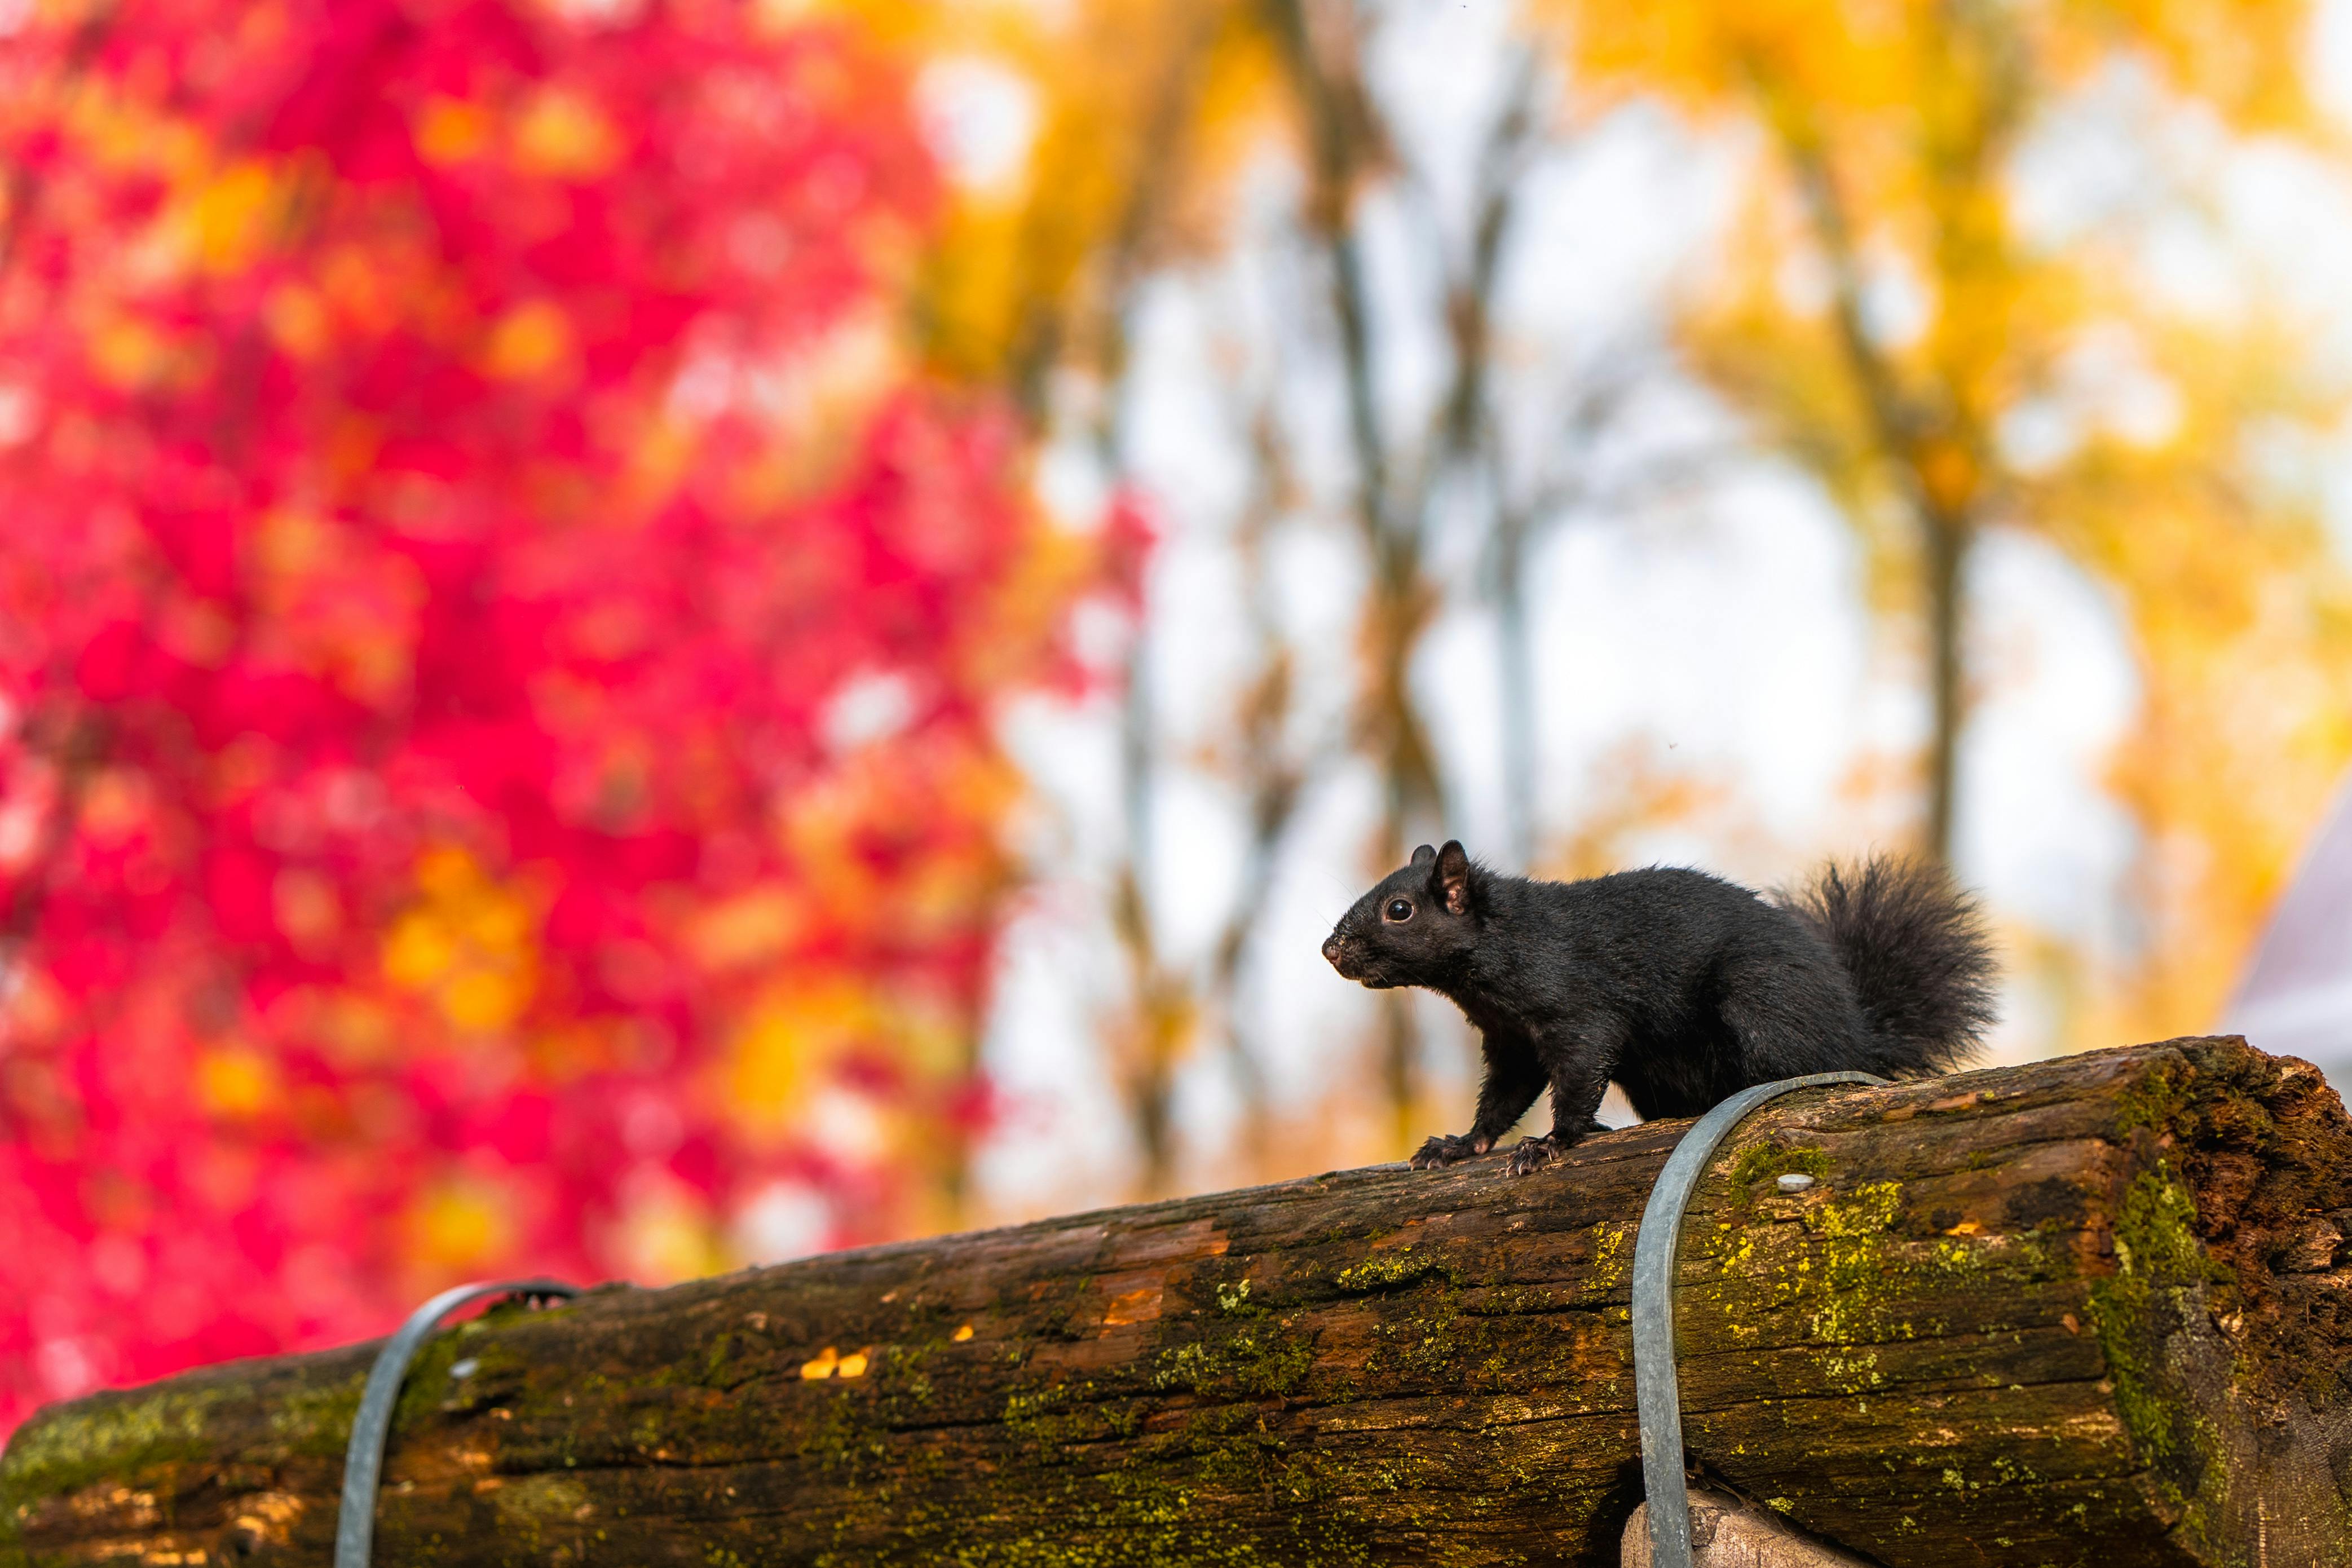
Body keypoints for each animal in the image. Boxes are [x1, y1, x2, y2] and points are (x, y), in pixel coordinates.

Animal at [1321, 842, 1997, 1176]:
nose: (1330, 949)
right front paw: (1462, 1145)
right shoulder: (1510, 1040)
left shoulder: (1577, 1009)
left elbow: (1577, 1077)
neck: (1506, 944)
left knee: (1794, 1070)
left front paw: (1554, 1142)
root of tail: (1859, 1034)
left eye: (1400, 910)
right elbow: (1504, 1099)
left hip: (1759, 1001)